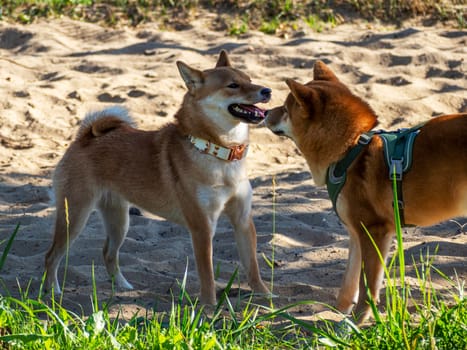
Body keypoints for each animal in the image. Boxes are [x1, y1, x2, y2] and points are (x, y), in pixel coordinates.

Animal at [44, 50, 270, 304]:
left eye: (250, 79)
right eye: (233, 85)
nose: (267, 91)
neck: (217, 152)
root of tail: (84, 138)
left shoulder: (242, 220)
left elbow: (252, 267)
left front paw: (267, 297)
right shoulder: (202, 227)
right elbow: (208, 275)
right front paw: (210, 306)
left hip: (118, 220)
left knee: (108, 254)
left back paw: (123, 287)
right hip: (74, 216)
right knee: (51, 256)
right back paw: (52, 292)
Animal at [266, 60, 467, 326]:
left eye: (286, 109)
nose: (264, 113)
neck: (350, 149)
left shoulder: (374, 232)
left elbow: (367, 286)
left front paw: (357, 322)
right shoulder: (356, 233)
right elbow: (349, 283)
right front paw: (337, 320)